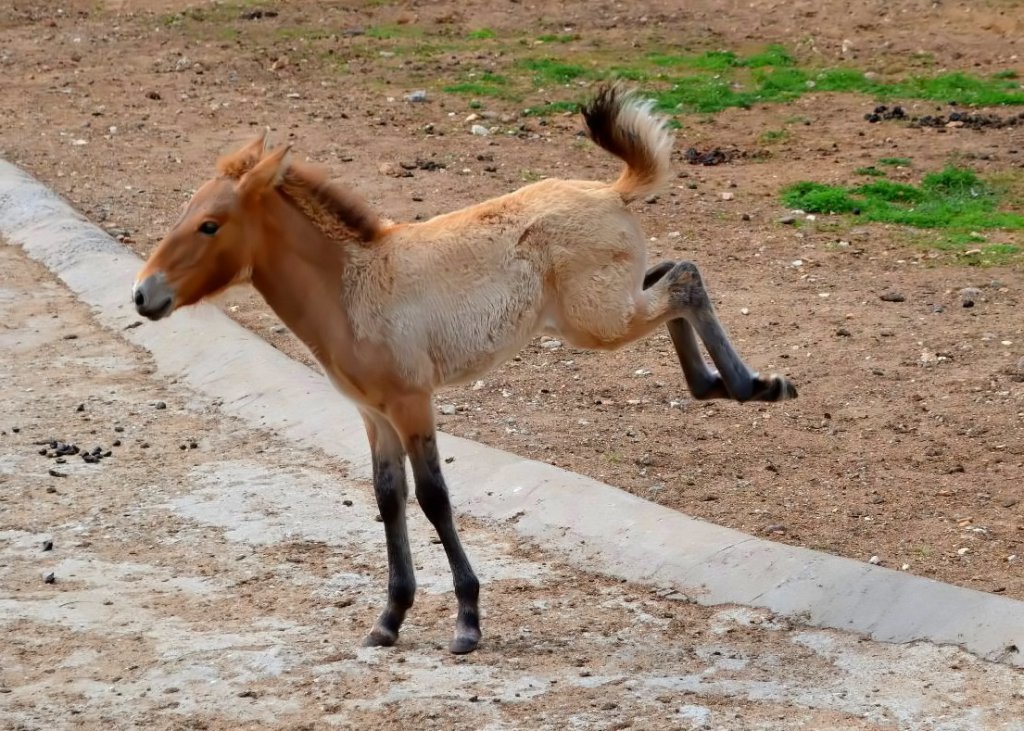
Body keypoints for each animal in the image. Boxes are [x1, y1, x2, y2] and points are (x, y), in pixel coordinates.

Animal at [134, 87, 790, 655]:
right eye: (187, 211)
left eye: (210, 225)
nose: (144, 295)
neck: (352, 286)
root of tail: (612, 191)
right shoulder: (373, 415)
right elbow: (389, 498)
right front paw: (389, 619)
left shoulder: (411, 403)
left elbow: (434, 499)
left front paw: (467, 622)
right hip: (607, 308)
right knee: (671, 273)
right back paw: (723, 384)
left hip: (598, 321)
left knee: (684, 280)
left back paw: (752, 385)